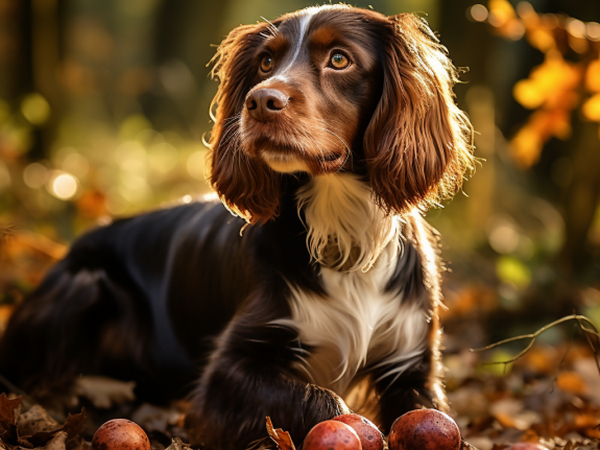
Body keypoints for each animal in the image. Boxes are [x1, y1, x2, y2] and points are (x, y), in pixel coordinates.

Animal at [0, 4, 474, 450]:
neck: (339, 224)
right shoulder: (228, 372)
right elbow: (325, 401)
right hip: (86, 283)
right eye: (266, 62)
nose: (261, 101)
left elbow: (428, 410)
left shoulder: (412, 363)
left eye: (340, 59)